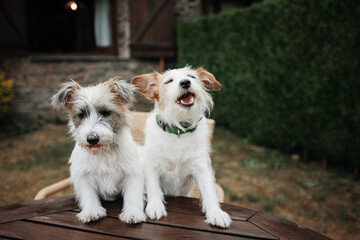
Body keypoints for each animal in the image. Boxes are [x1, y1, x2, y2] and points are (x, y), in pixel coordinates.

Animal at [51, 78, 146, 224]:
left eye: (105, 112)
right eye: (81, 115)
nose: (92, 139)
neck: (103, 152)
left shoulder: (132, 173)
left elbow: (133, 194)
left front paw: (133, 213)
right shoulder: (83, 175)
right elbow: (88, 194)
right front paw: (91, 211)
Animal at [131, 66, 231, 228]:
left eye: (191, 76)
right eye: (169, 81)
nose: (185, 82)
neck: (178, 131)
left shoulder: (202, 168)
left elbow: (209, 191)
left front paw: (216, 213)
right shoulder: (151, 166)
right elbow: (154, 187)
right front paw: (155, 206)